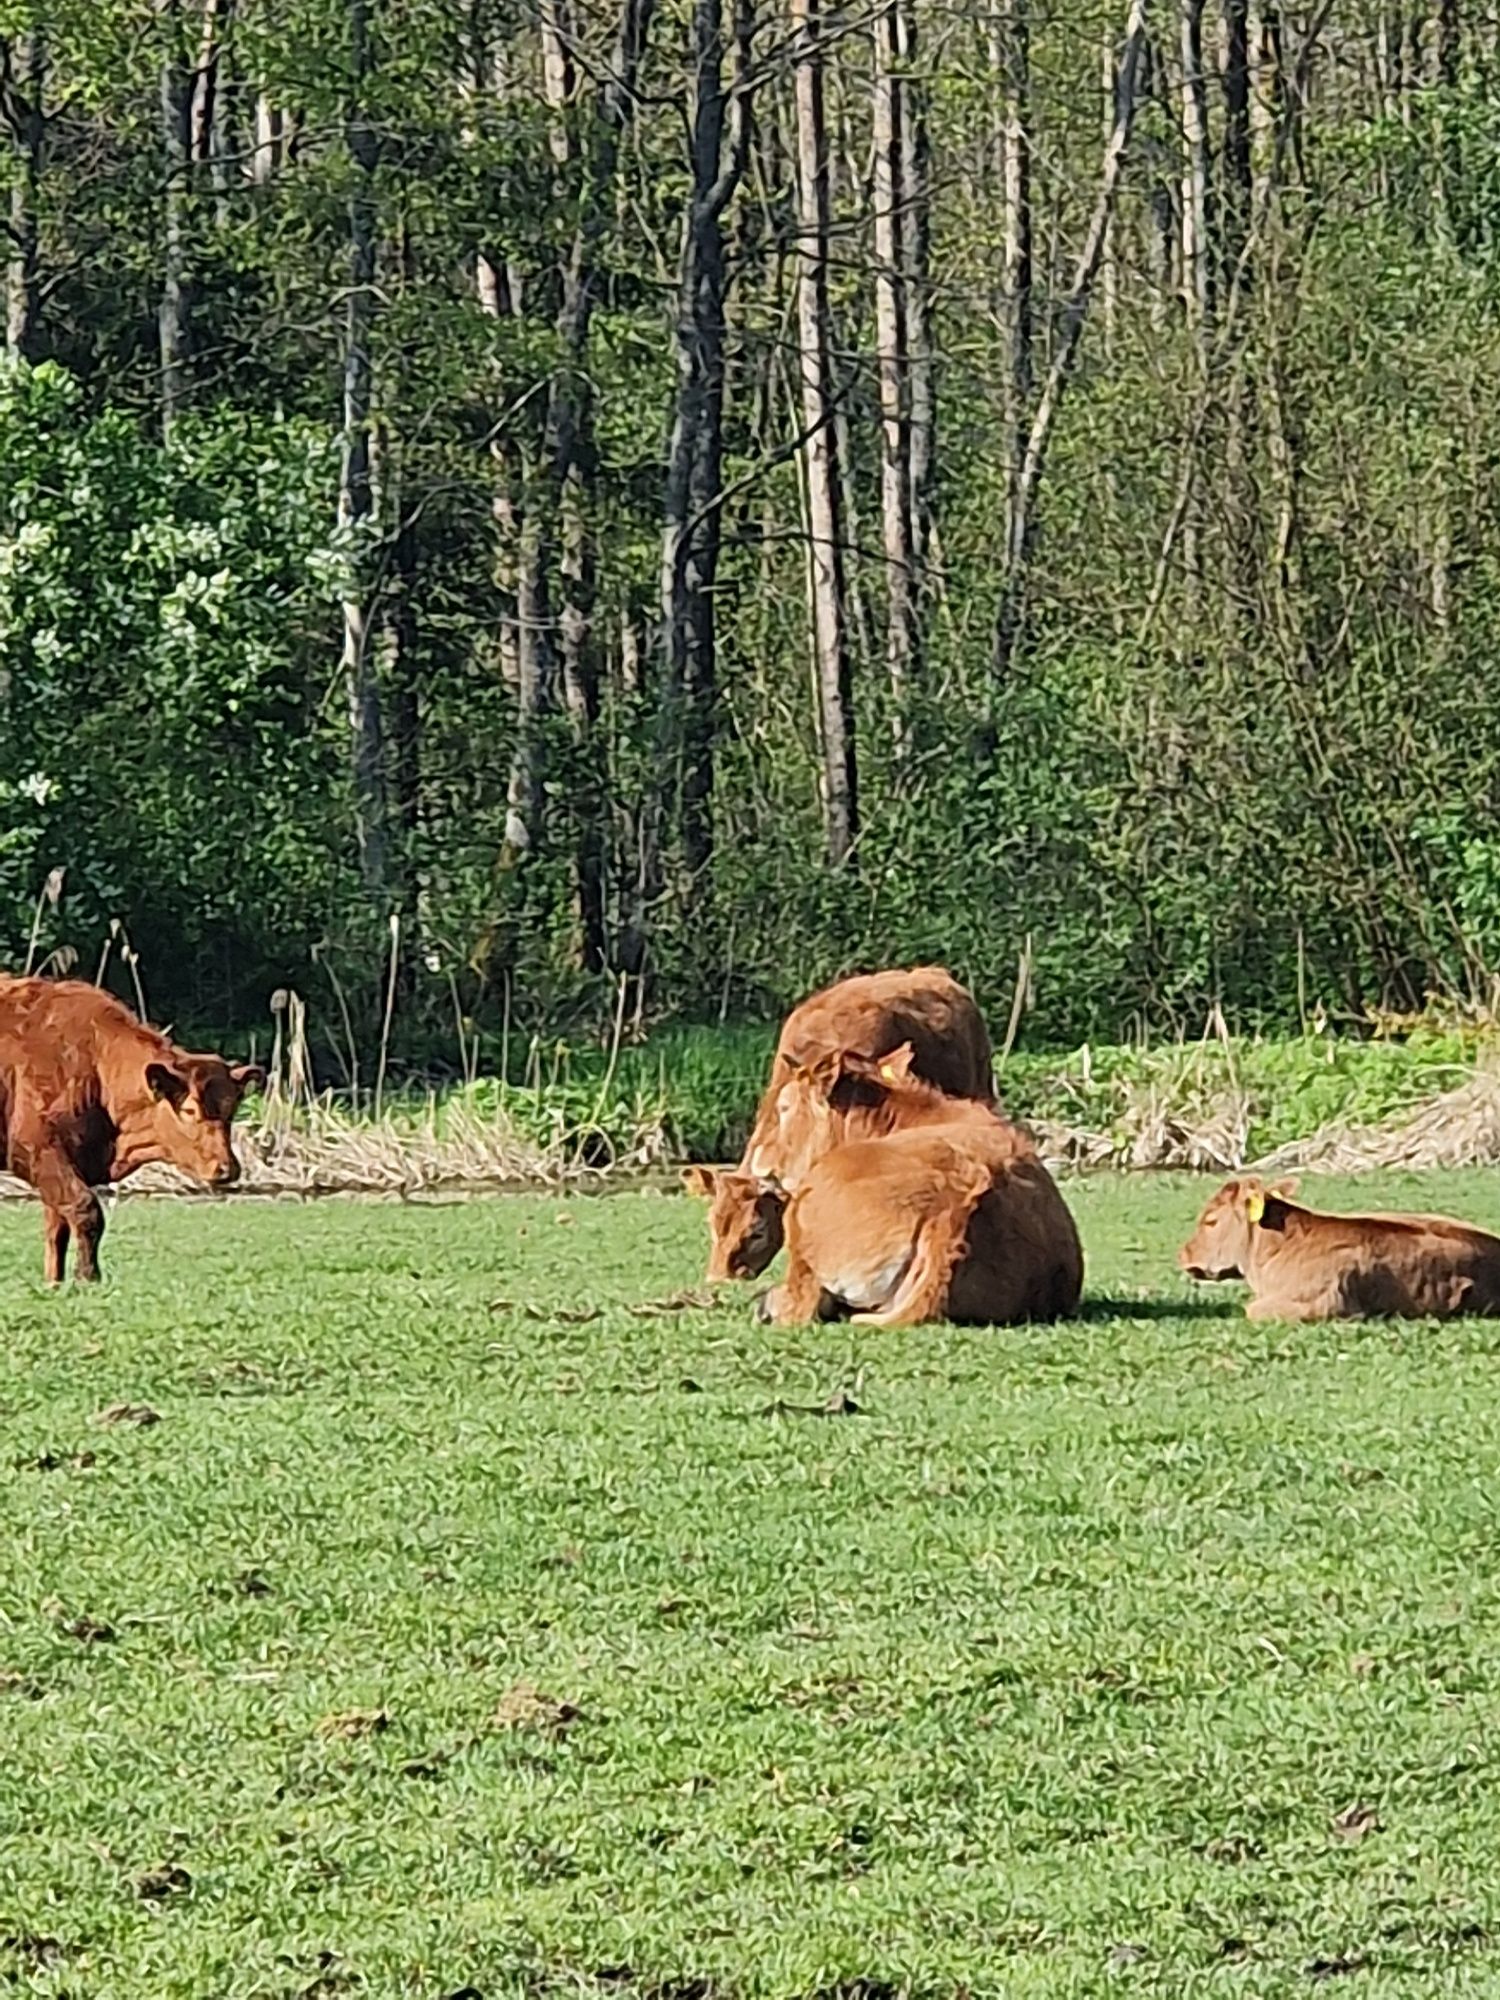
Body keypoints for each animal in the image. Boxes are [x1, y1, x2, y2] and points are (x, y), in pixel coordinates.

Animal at [0, 980, 262, 1280]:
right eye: (189, 1110)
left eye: (232, 1110)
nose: (226, 1168)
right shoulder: (37, 1150)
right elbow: (85, 1209)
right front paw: (88, 1276)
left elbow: (57, 1231)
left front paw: (55, 1282)